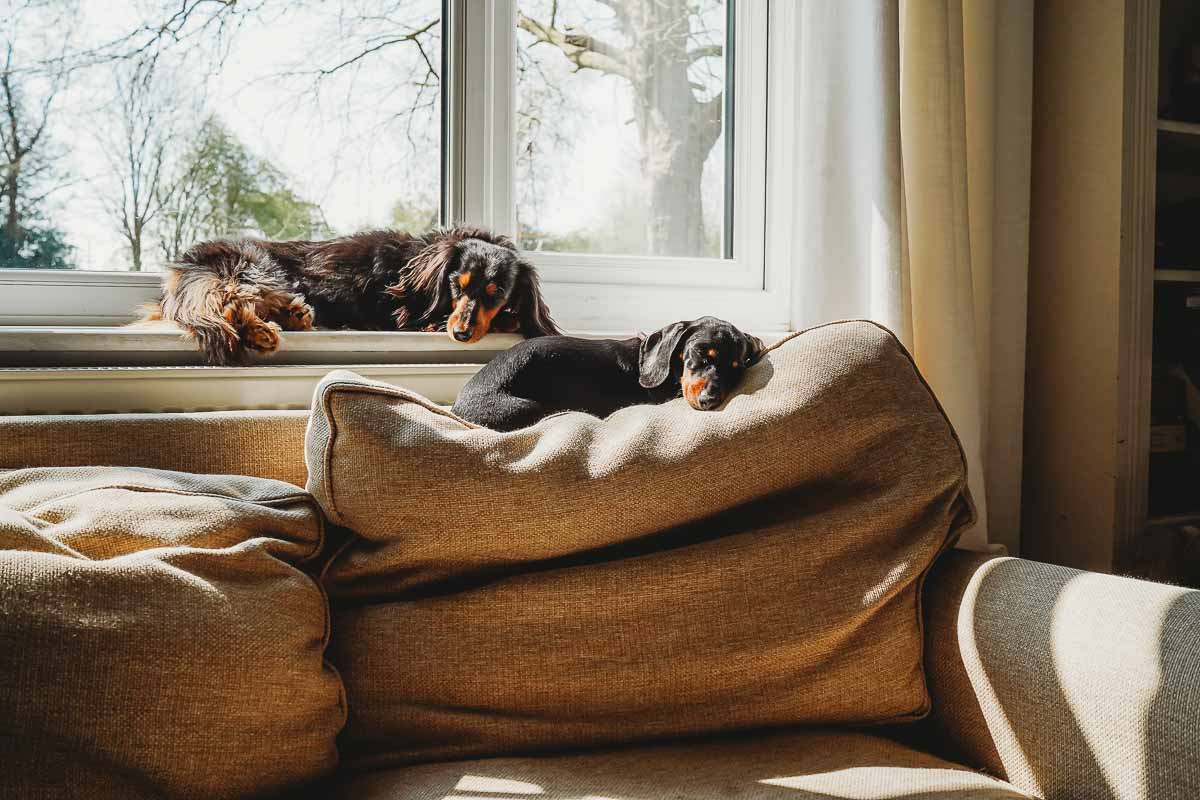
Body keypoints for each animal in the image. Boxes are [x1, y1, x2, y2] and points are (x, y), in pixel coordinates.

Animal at [138, 225, 559, 362]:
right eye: (459, 284)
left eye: (496, 291)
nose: (461, 334)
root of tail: (188, 263)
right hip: (259, 267)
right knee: (231, 302)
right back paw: (262, 330)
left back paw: (294, 317)